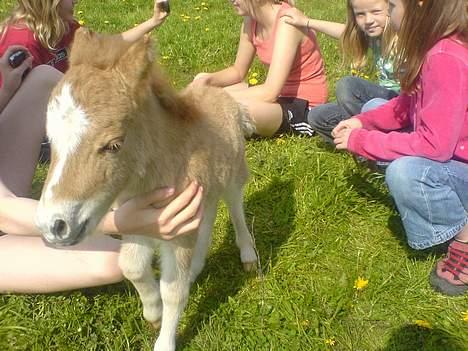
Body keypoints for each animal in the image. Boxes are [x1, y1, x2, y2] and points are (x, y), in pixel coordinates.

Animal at [36, 29, 258, 351]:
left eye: (114, 145)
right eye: (50, 139)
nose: (54, 226)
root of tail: (229, 99)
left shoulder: (177, 231)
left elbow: (173, 291)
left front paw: (165, 341)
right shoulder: (141, 220)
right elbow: (131, 266)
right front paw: (153, 313)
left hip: (234, 174)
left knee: (236, 207)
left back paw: (248, 256)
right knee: (207, 218)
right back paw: (196, 269)